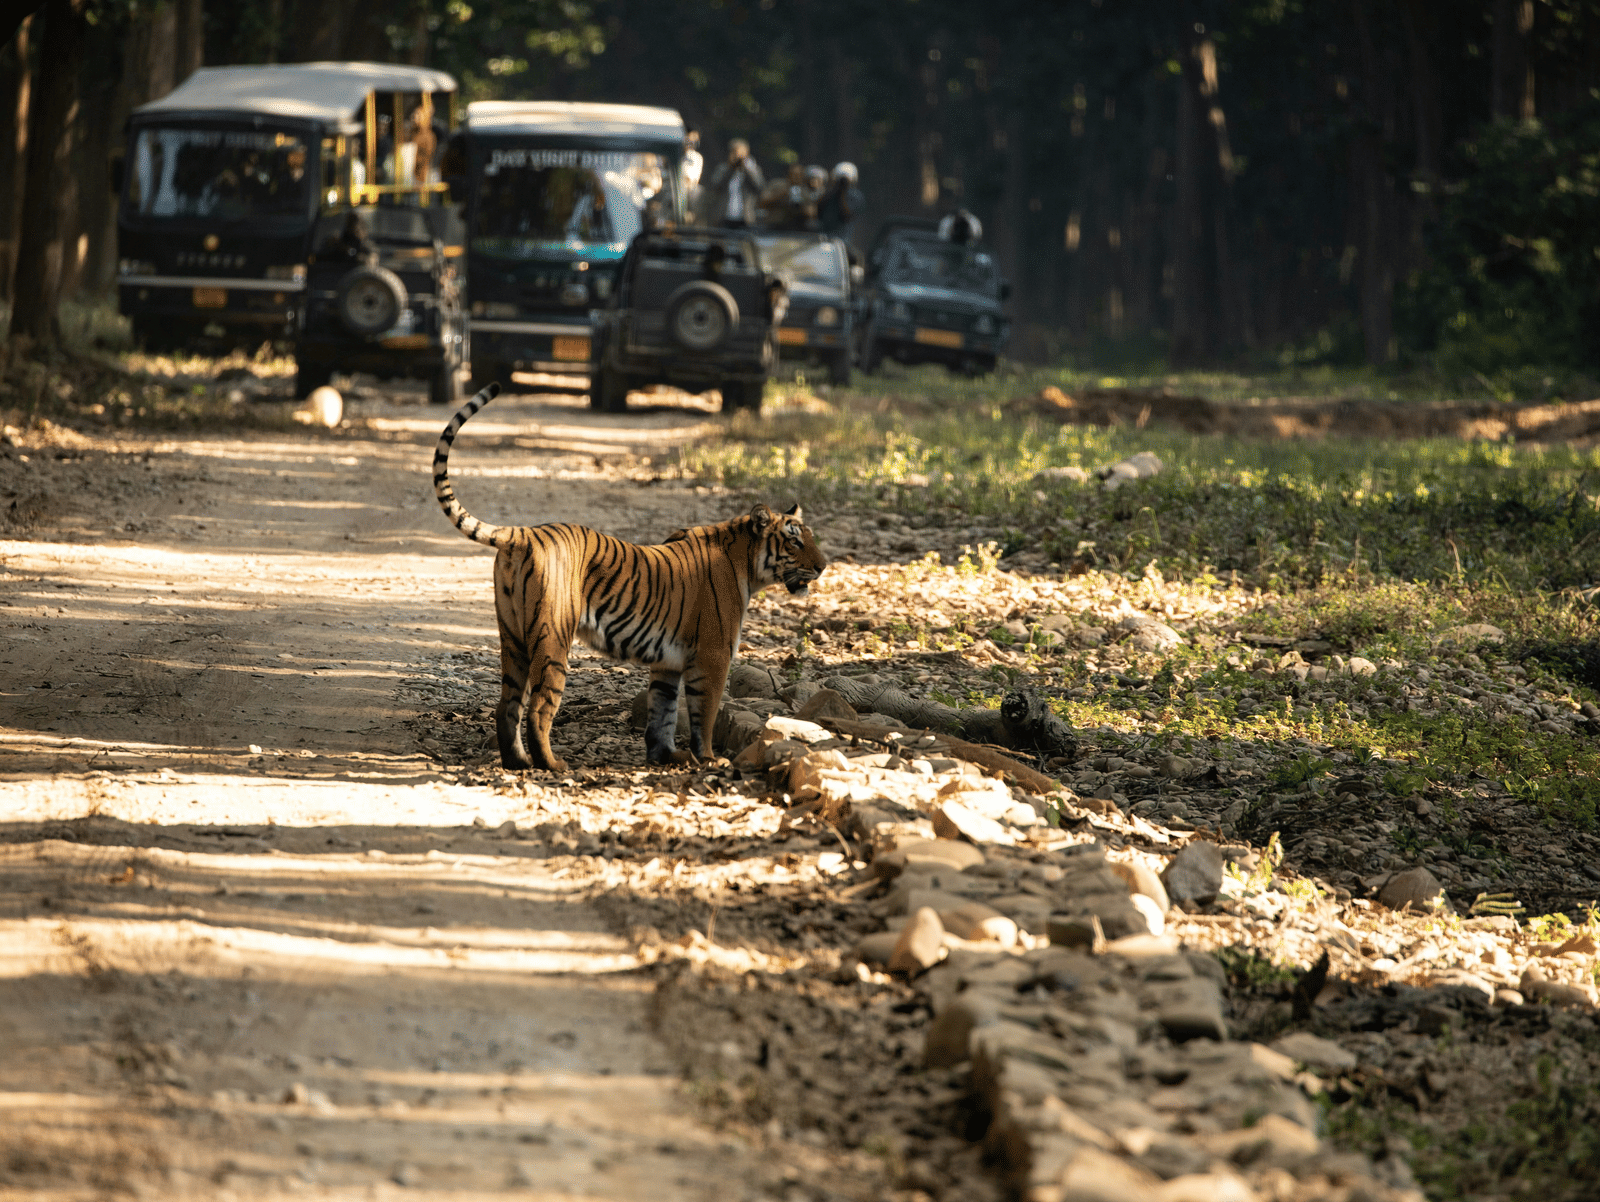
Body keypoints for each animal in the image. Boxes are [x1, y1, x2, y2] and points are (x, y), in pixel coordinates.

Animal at [433, 382, 827, 771]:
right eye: (795, 541)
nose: (824, 566)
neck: (746, 562)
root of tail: (524, 533)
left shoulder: (668, 663)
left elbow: (663, 713)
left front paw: (665, 756)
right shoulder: (713, 656)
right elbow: (705, 715)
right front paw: (709, 759)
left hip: (512, 636)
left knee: (507, 705)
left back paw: (517, 762)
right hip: (553, 637)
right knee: (539, 708)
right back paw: (553, 765)